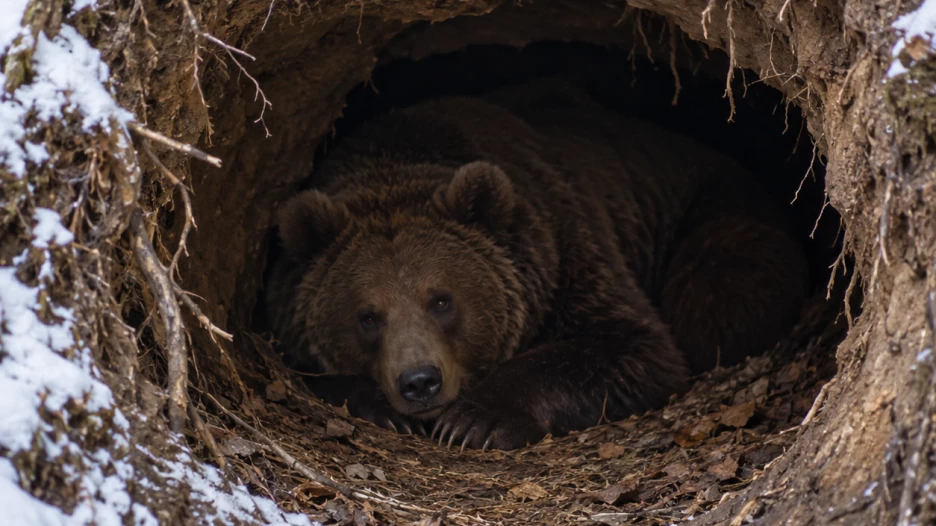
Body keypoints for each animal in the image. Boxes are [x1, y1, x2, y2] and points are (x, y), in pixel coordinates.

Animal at [265, 78, 809, 451]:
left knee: (714, 298)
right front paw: (382, 407)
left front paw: (474, 421)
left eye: (441, 300)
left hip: (717, 212)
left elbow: (631, 346)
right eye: (367, 316)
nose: (419, 381)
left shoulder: (566, 247)